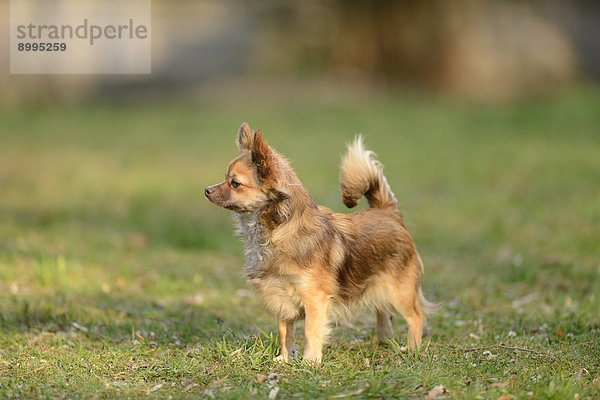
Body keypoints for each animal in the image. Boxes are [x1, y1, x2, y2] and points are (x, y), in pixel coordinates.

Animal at [204, 122, 434, 362]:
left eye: (235, 183)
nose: (206, 190)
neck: (274, 233)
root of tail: (388, 213)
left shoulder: (314, 299)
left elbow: (310, 331)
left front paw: (310, 361)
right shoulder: (281, 299)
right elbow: (285, 332)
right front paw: (284, 359)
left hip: (399, 291)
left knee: (416, 317)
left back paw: (413, 349)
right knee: (383, 312)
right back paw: (382, 340)